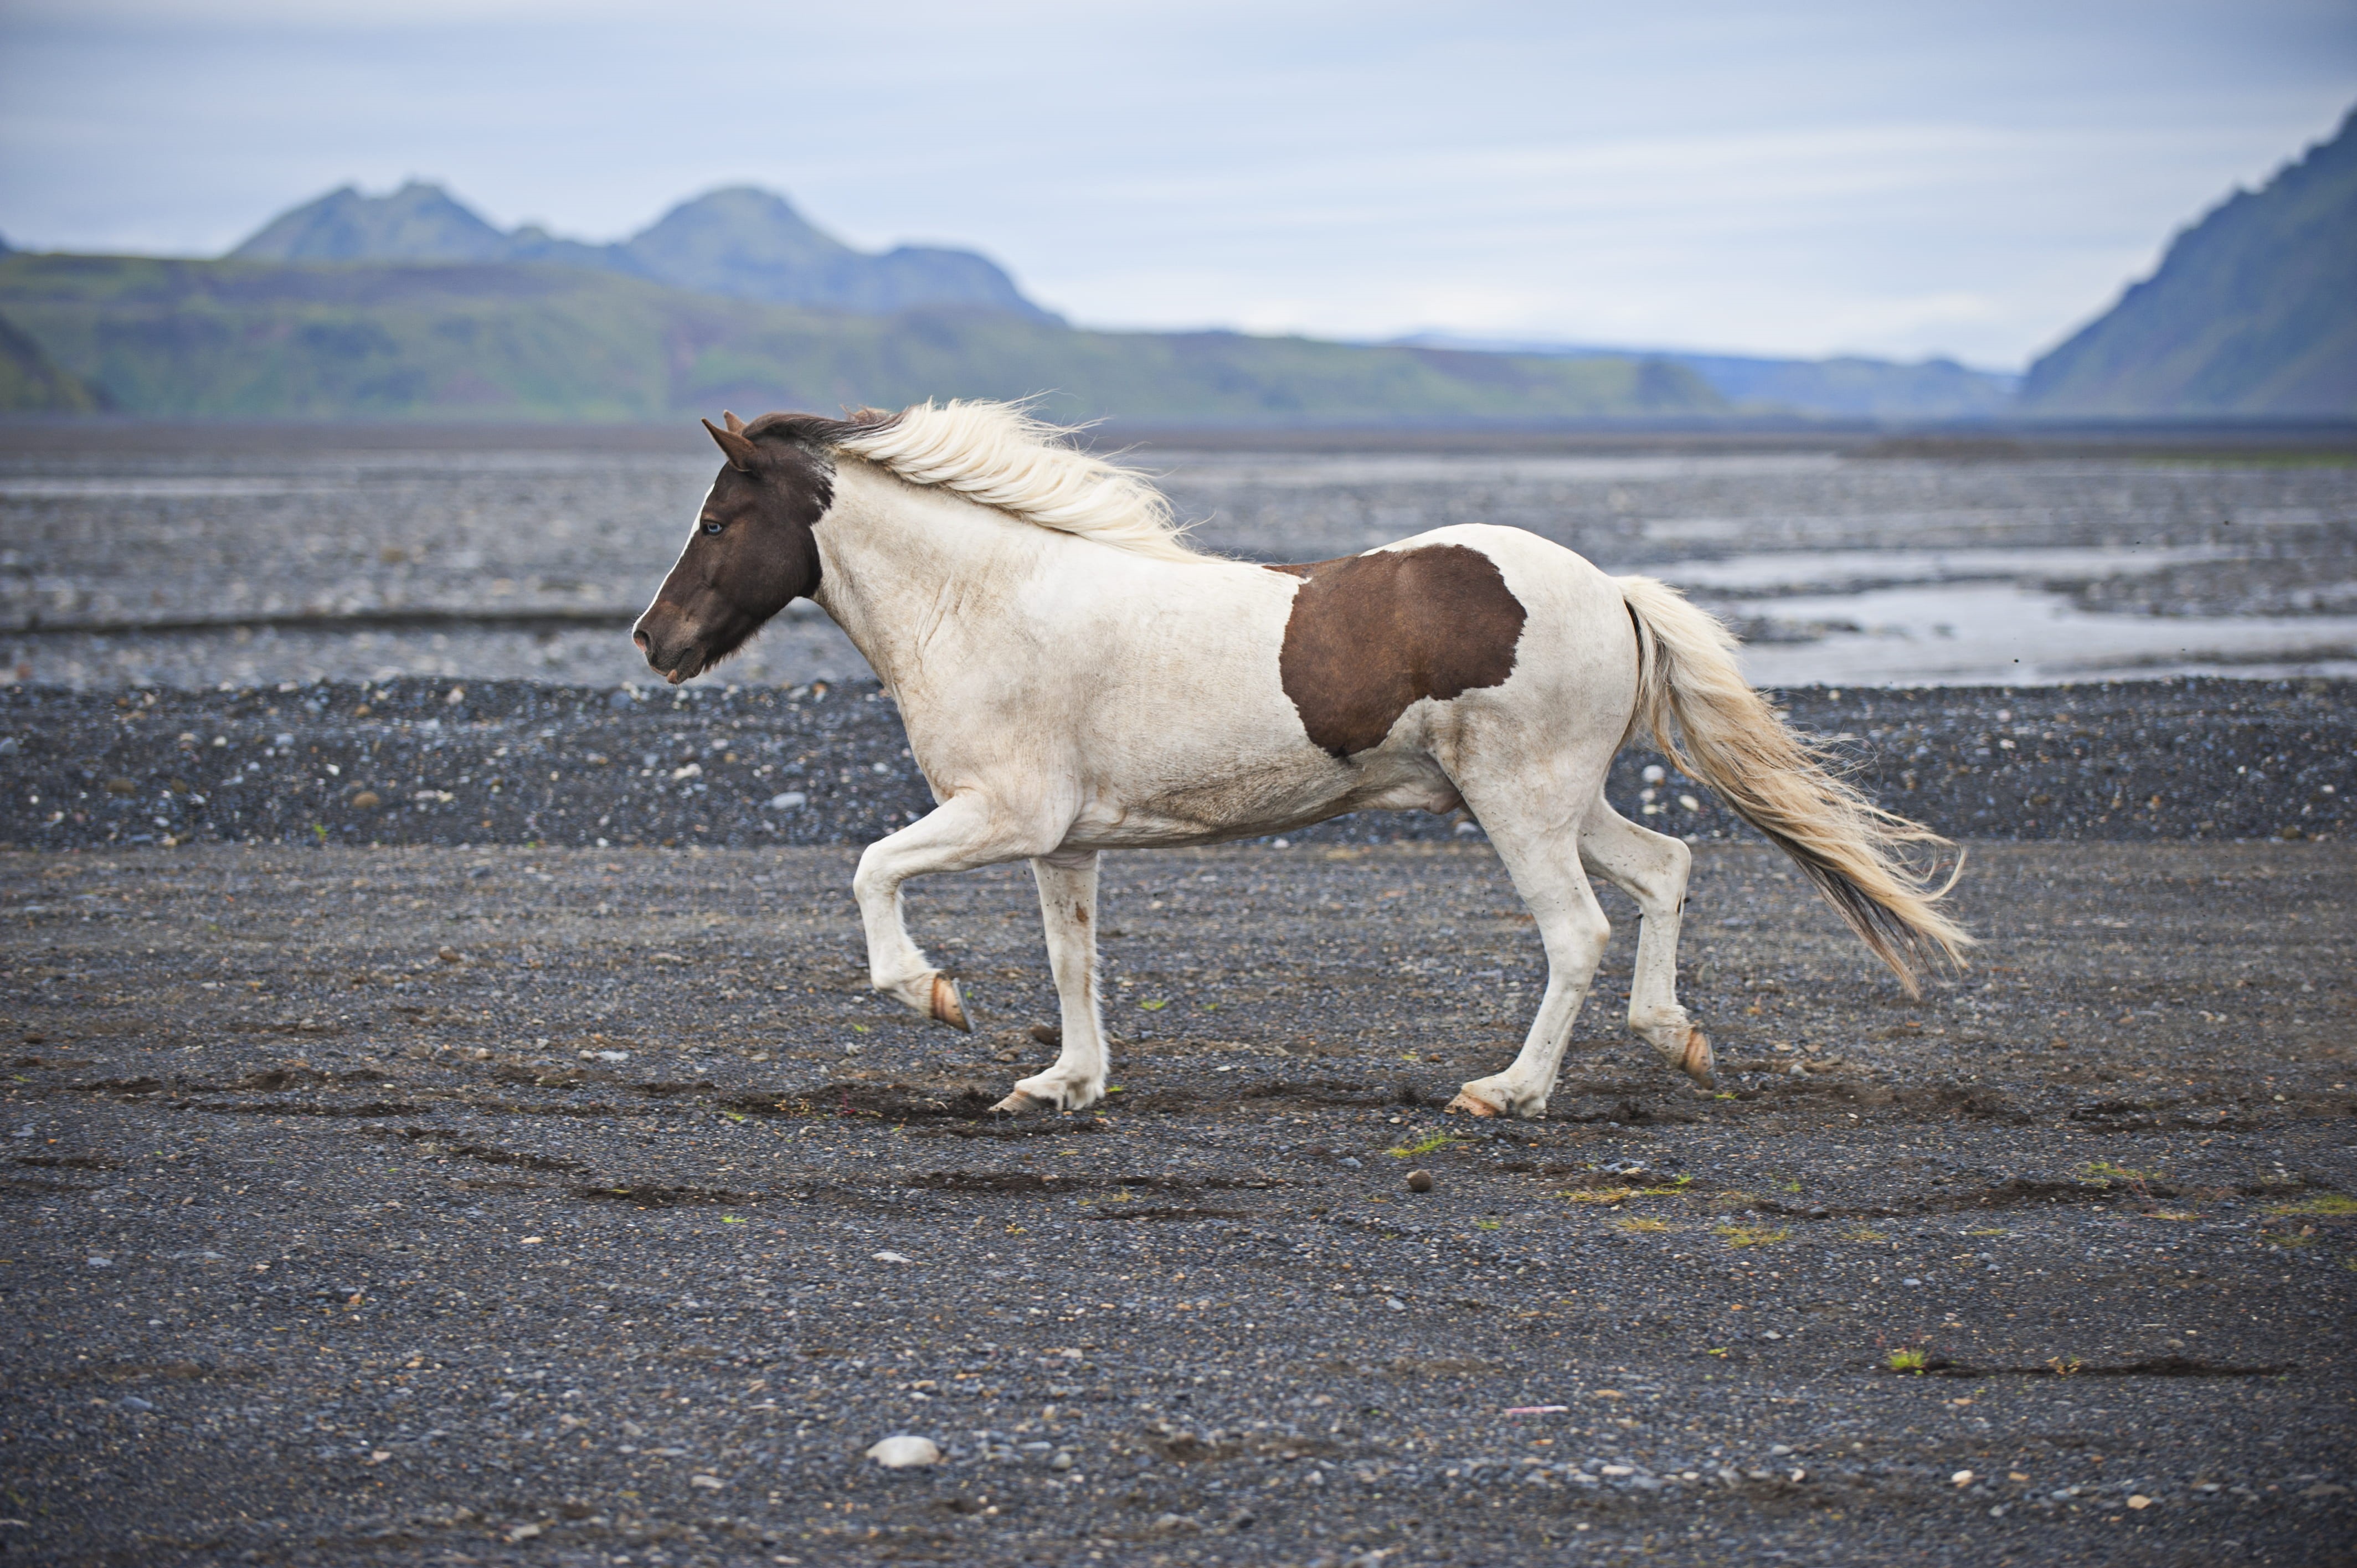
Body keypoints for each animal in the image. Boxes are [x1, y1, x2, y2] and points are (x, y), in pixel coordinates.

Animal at [632, 400, 1968, 1118]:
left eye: (715, 520)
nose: (653, 640)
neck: (988, 600)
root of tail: (1609, 588)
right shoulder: (1064, 842)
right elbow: (1074, 965)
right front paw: (1063, 1084)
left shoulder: (1000, 812)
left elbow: (870, 871)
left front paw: (931, 995)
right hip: (1556, 797)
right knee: (1665, 868)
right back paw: (1673, 1036)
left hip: (1519, 800)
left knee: (1579, 929)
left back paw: (1507, 1091)